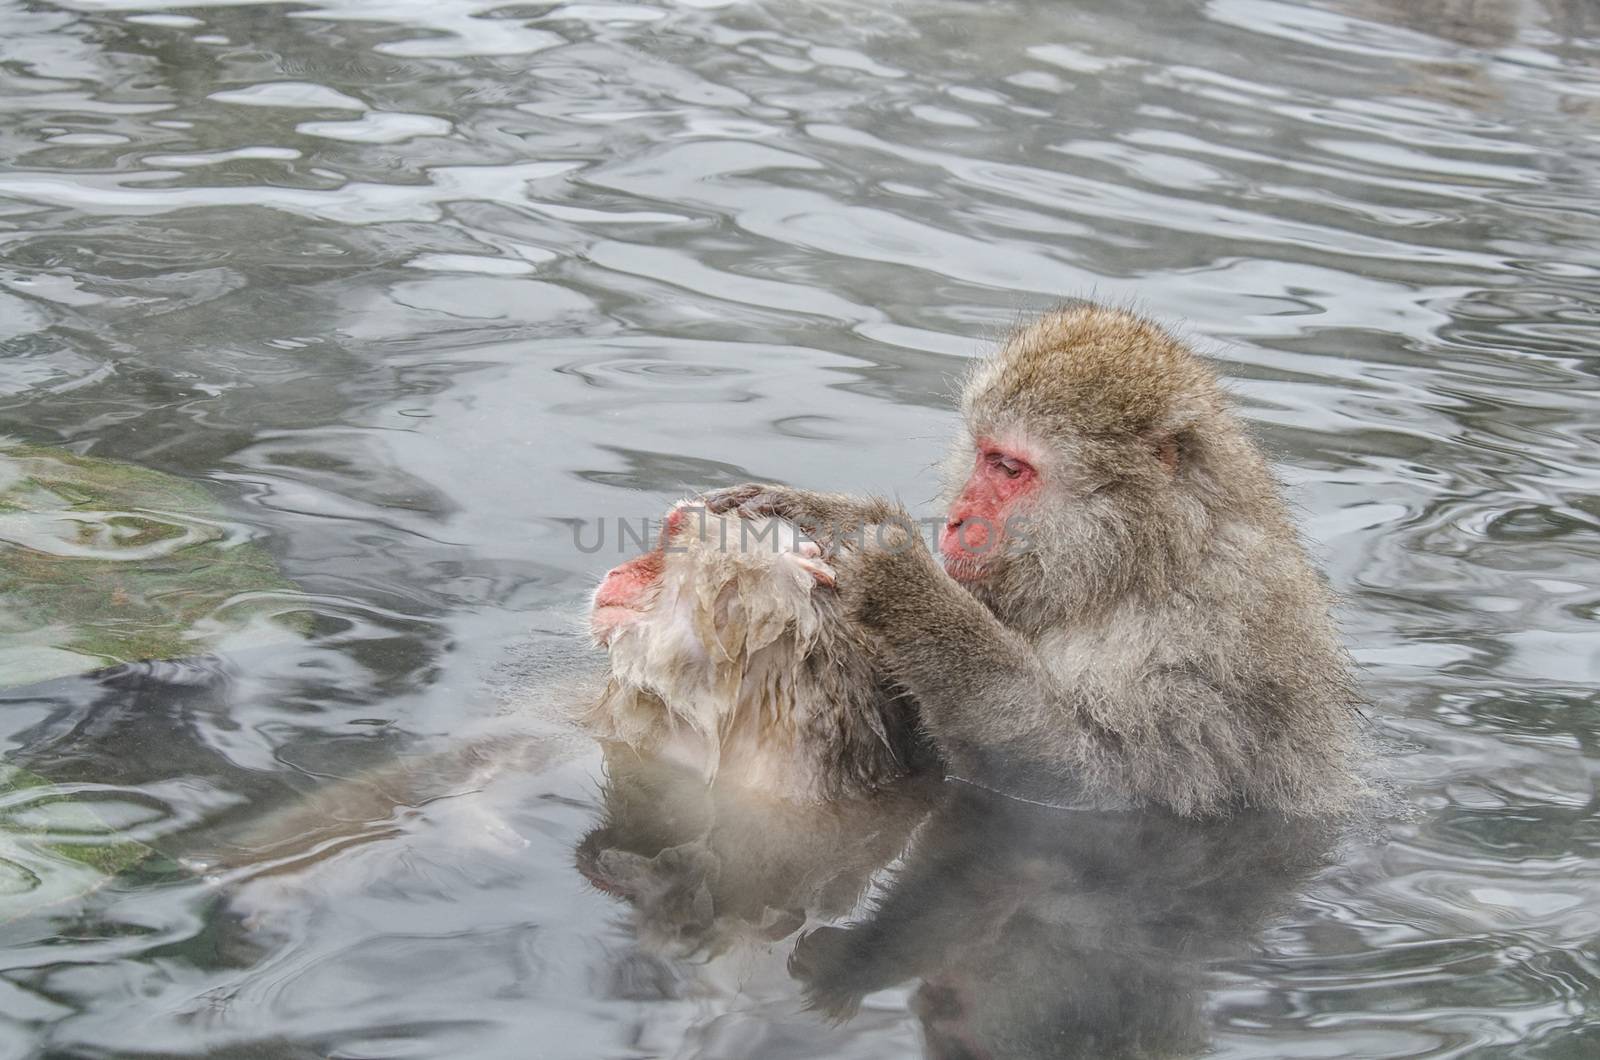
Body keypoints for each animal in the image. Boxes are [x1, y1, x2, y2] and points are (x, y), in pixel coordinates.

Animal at [713, 302, 1363, 816]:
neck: (1137, 566)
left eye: (1009, 469)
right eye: (983, 454)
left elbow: (1096, 783)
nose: (957, 520)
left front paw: (906, 590)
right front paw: (830, 515)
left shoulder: (1205, 650)